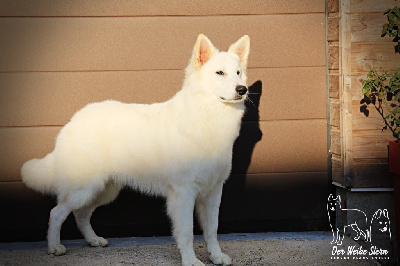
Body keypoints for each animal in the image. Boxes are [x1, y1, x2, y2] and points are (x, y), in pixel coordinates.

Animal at [21, 34, 250, 266]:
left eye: (238, 72)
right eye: (220, 73)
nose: (243, 89)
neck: (207, 117)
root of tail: (74, 119)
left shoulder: (213, 191)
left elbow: (212, 229)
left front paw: (216, 256)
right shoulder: (183, 193)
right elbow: (186, 232)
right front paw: (190, 260)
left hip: (104, 190)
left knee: (81, 215)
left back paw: (93, 240)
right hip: (83, 188)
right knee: (56, 212)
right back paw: (53, 247)